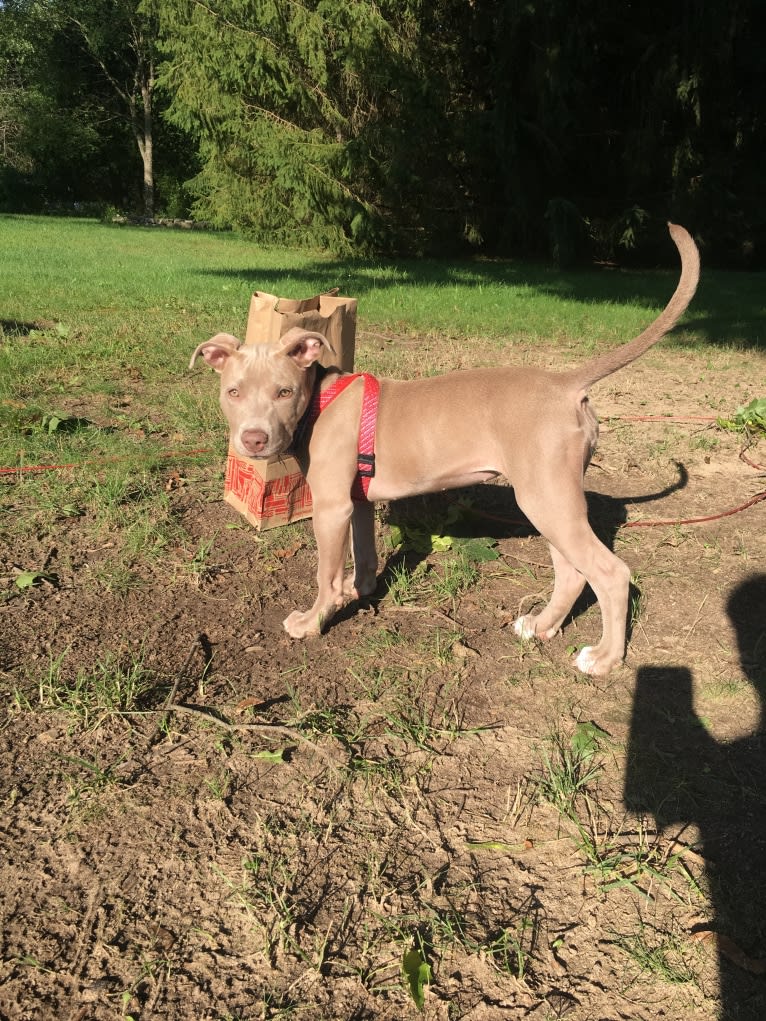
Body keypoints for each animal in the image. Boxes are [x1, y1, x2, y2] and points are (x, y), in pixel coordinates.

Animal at [192, 221, 702, 677]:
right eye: (233, 392)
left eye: (283, 392)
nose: (253, 439)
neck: (319, 398)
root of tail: (563, 383)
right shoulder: (356, 502)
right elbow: (363, 556)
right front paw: (360, 591)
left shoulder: (332, 506)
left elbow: (326, 573)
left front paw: (313, 620)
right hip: (553, 499)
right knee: (574, 570)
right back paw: (541, 625)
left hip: (545, 497)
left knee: (610, 573)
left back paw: (604, 659)